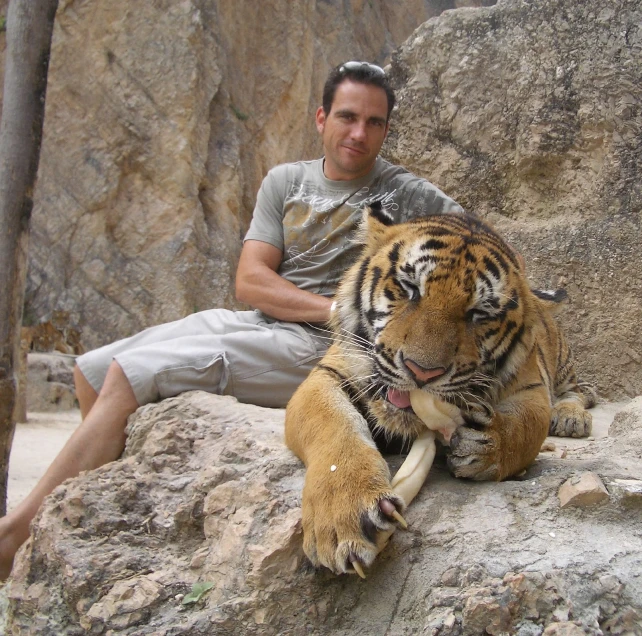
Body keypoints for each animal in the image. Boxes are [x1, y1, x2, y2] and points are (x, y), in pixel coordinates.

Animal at [282, 202, 592, 576]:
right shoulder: (327, 373)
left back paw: (572, 418)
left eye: (479, 313)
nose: (422, 372)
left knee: (578, 390)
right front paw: (344, 518)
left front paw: (485, 444)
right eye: (409, 288)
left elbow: (527, 428)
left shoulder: (532, 388)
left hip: (561, 360)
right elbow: (332, 426)